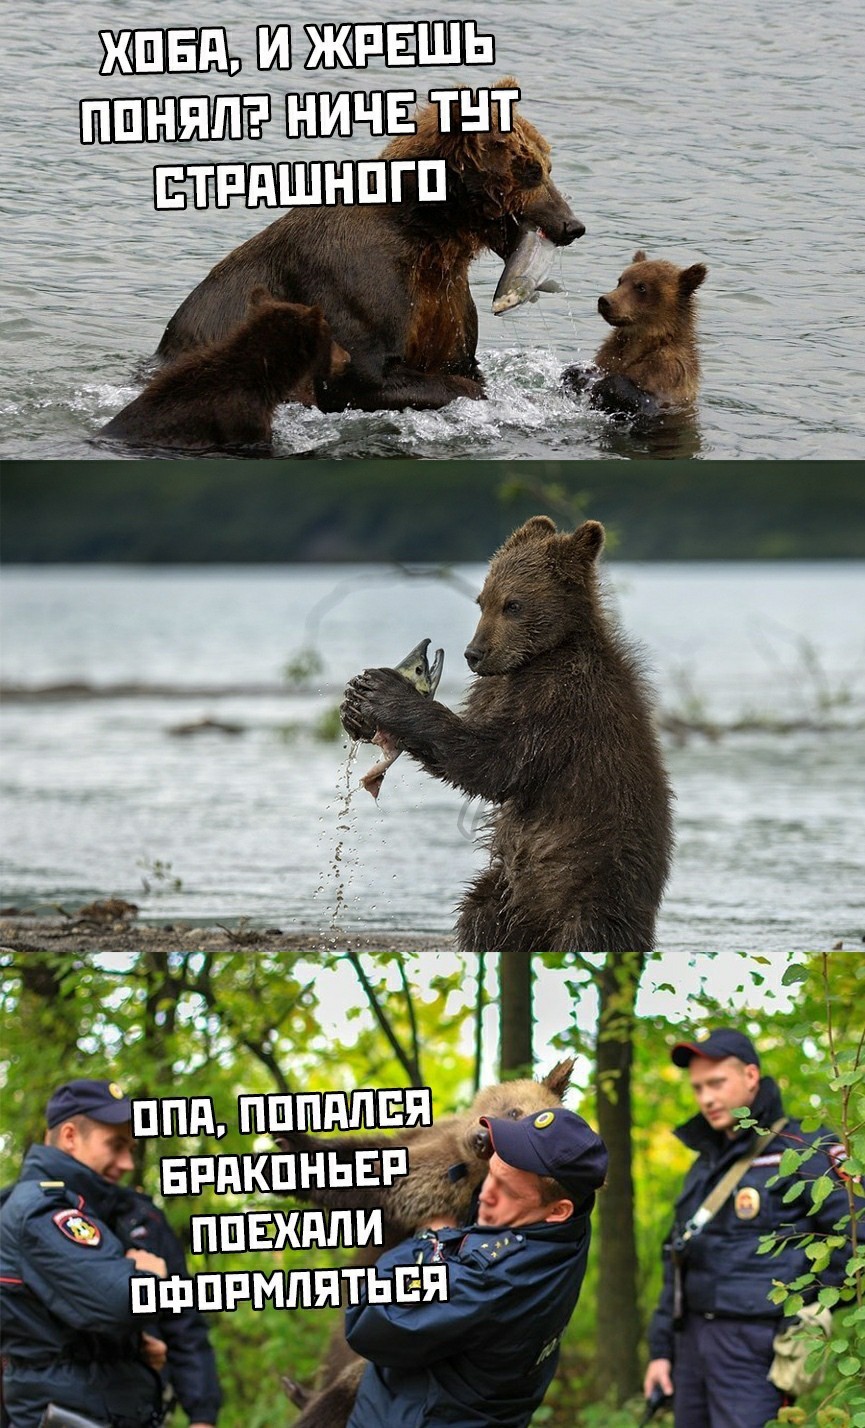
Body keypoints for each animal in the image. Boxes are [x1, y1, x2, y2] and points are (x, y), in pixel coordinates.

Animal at [158, 79, 585, 414]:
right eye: (531, 170)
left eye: (547, 165)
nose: (573, 225)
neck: (433, 235)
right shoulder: (356, 282)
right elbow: (363, 374)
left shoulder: (443, 298)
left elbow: (458, 359)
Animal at [342, 519, 673, 953]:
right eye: (482, 601)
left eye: (513, 604)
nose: (474, 653)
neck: (537, 658)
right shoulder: (496, 688)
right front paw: (354, 702)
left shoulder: (563, 702)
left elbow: (497, 761)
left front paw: (386, 692)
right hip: (507, 887)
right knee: (479, 915)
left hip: (594, 886)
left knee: (588, 934)